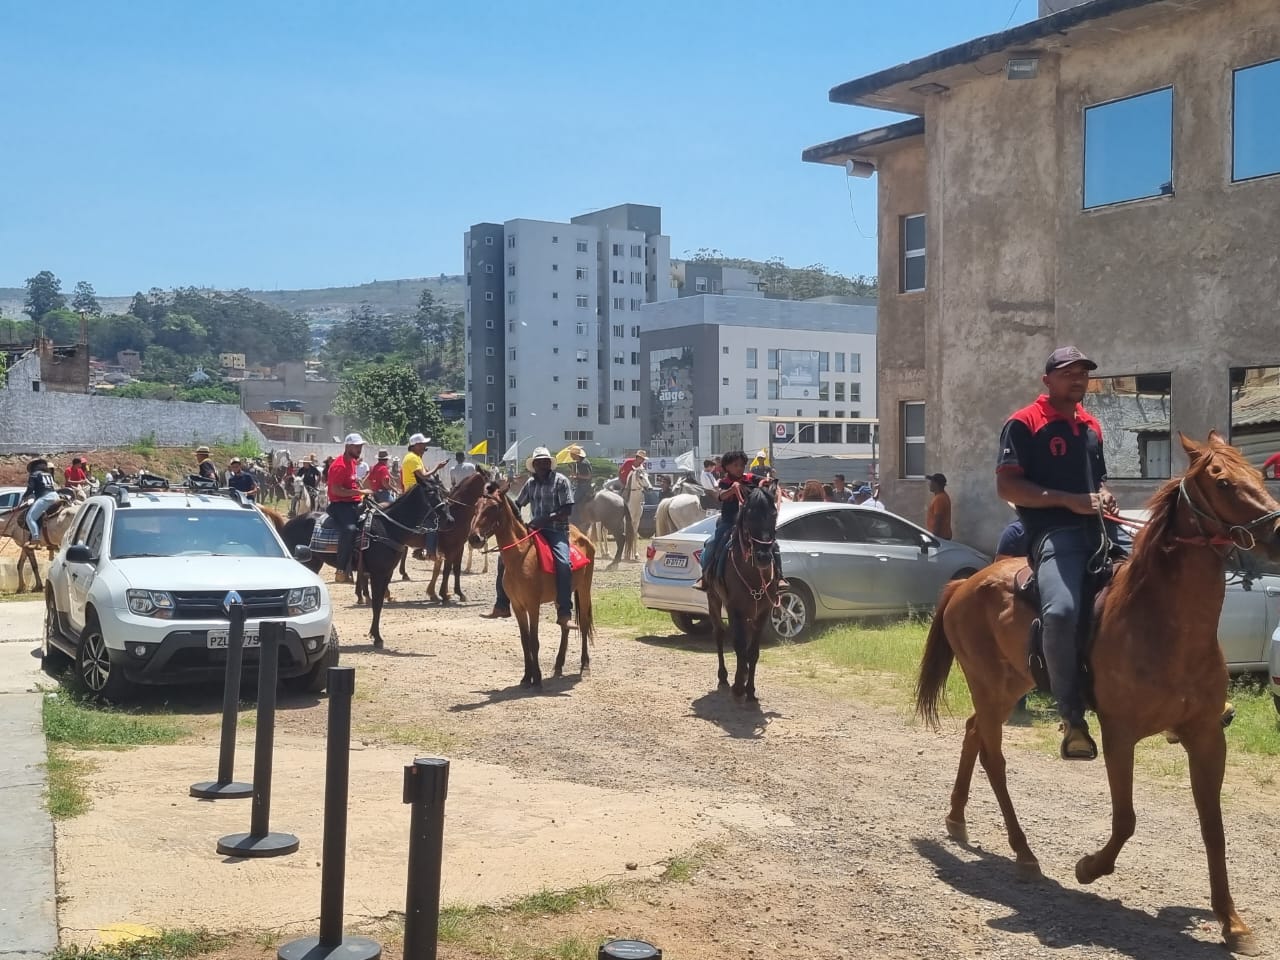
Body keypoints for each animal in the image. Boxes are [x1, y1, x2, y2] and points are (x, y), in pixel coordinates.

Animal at [279, 480, 453, 647]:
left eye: (441, 492)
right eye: (431, 493)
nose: (449, 520)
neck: (387, 528)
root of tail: (287, 525)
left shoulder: (387, 573)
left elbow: (380, 602)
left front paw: (376, 634)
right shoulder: (378, 573)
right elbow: (375, 603)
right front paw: (377, 637)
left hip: (313, 564)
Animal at [469, 480, 595, 688]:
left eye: (493, 507)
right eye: (476, 506)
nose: (474, 538)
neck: (521, 556)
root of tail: (583, 537)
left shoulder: (533, 605)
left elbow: (534, 641)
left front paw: (536, 678)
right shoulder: (518, 606)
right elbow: (525, 640)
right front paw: (526, 677)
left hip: (584, 588)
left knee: (583, 623)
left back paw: (584, 666)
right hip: (562, 596)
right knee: (564, 624)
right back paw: (558, 665)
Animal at [705, 481, 783, 700]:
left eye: (774, 514)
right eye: (749, 515)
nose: (764, 556)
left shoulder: (763, 612)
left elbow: (753, 651)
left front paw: (751, 689)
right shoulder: (734, 610)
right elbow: (739, 646)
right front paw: (739, 686)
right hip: (713, 599)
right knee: (718, 634)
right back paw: (723, 677)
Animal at [914, 432, 1280, 955]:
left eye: (1258, 474)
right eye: (1224, 482)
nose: (1277, 533)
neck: (1164, 622)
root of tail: (968, 581)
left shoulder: (1208, 736)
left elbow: (1214, 828)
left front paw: (1233, 923)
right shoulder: (1119, 734)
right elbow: (1125, 818)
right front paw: (1089, 867)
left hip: (1007, 685)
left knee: (972, 734)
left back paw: (957, 818)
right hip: (988, 685)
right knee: (992, 756)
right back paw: (1023, 853)